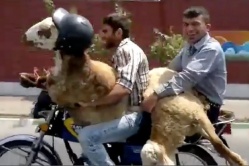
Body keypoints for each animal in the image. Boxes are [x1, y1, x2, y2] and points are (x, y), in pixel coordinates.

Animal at [22, 16, 248, 165]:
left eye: (46, 29)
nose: (24, 36)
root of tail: (201, 108)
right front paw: (30, 79)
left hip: (169, 119)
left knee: (153, 153)